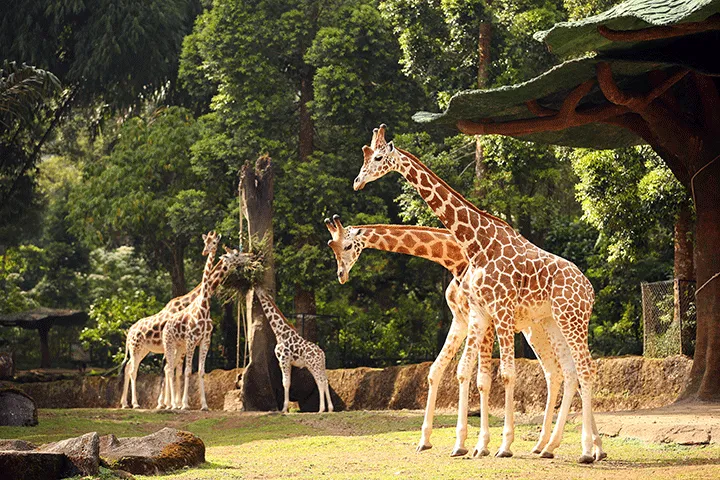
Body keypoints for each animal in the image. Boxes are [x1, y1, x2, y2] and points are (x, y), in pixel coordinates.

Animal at [119, 232, 221, 408]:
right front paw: (178, 404)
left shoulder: (204, 340)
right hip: (139, 348)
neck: (202, 305)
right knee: (134, 370)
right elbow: (182, 371)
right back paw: (136, 404)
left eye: (214, 242)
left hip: (144, 349)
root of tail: (129, 331)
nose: (205, 251)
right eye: (205, 242)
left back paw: (127, 403)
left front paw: (202, 405)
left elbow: (197, 371)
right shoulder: (189, 340)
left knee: (131, 368)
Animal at [162, 248, 246, 408]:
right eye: (236, 255)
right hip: (169, 344)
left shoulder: (205, 341)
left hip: (179, 347)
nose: (249, 257)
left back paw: (170, 403)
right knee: (168, 368)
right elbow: (188, 371)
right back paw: (171, 404)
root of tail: (165, 326)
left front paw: (204, 405)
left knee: (170, 368)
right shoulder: (191, 341)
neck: (203, 305)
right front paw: (185, 405)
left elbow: (201, 371)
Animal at [255, 286, 334, 414]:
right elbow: (287, 382)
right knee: (324, 381)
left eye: (260, 289)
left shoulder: (284, 359)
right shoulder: (286, 362)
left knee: (321, 382)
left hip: (313, 366)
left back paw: (321, 409)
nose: (254, 287)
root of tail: (322, 354)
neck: (280, 333)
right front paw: (285, 408)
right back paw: (330, 409)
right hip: (319, 366)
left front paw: (284, 409)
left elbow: (285, 383)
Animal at [324, 216, 600, 460]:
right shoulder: (461, 319)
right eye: (332, 247)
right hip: (542, 328)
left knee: (574, 369)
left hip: (552, 324)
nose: (341, 275)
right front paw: (429, 440)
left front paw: (476, 445)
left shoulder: (482, 321)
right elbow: (438, 370)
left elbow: (477, 376)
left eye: (346, 246)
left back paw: (583, 447)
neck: (456, 259)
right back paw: (556, 445)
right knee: (560, 371)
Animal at [352, 125, 600, 464]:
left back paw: (587, 450)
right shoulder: (481, 313)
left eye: (377, 158)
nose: (357, 181)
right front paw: (474, 445)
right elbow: (473, 375)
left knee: (586, 369)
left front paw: (502, 446)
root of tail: (589, 288)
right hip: (551, 322)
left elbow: (505, 374)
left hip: (572, 318)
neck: (477, 243)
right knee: (566, 371)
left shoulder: (501, 309)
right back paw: (550, 446)